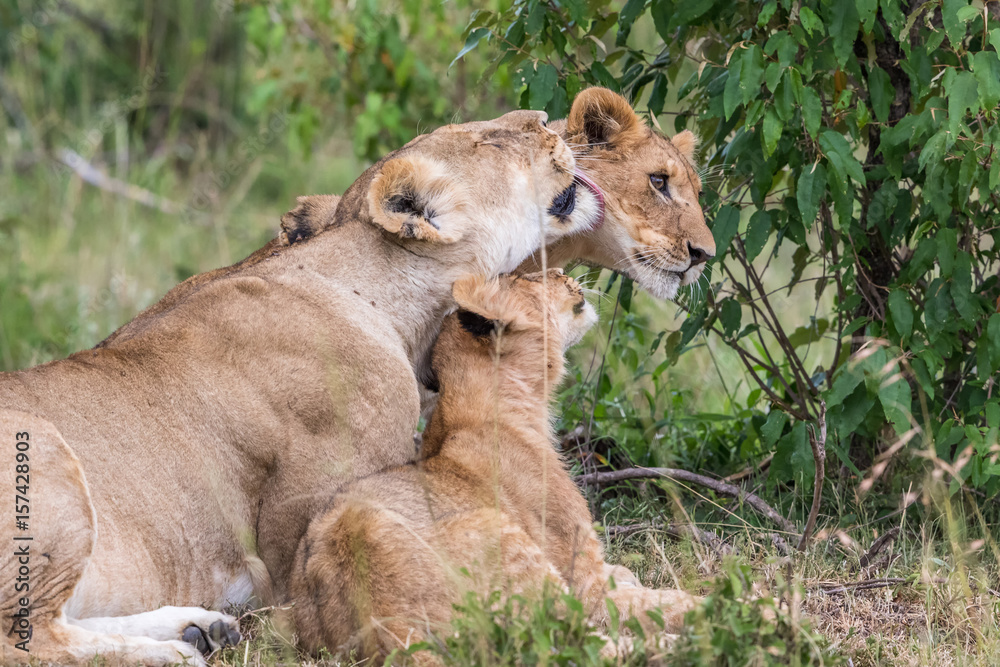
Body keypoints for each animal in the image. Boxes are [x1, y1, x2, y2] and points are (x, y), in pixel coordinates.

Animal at [0, 110, 599, 666]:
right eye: (490, 141)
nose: (546, 118)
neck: (390, 303)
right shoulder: (315, 524)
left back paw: (197, 627)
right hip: (43, 450)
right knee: (29, 641)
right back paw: (172, 651)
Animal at [290, 270, 699, 662]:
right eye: (528, 277)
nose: (563, 271)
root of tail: (385, 625)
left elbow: (630, 578)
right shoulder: (586, 585)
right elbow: (665, 603)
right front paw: (711, 607)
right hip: (508, 544)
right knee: (585, 644)